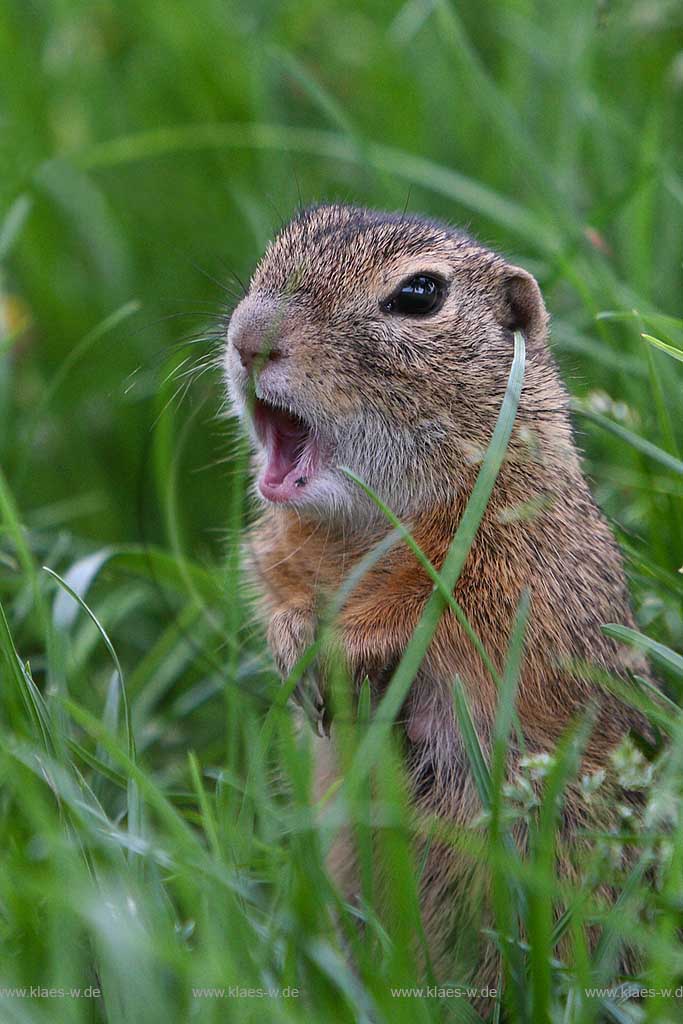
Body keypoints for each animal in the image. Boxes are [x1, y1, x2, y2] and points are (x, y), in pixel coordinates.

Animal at [223, 203, 647, 995]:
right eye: (279, 246)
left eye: (418, 296)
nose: (248, 339)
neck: (362, 524)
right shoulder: (274, 553)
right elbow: (277, 592)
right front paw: (293, 646)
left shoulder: (507, 565)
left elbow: (426, 614)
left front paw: (335, 653)